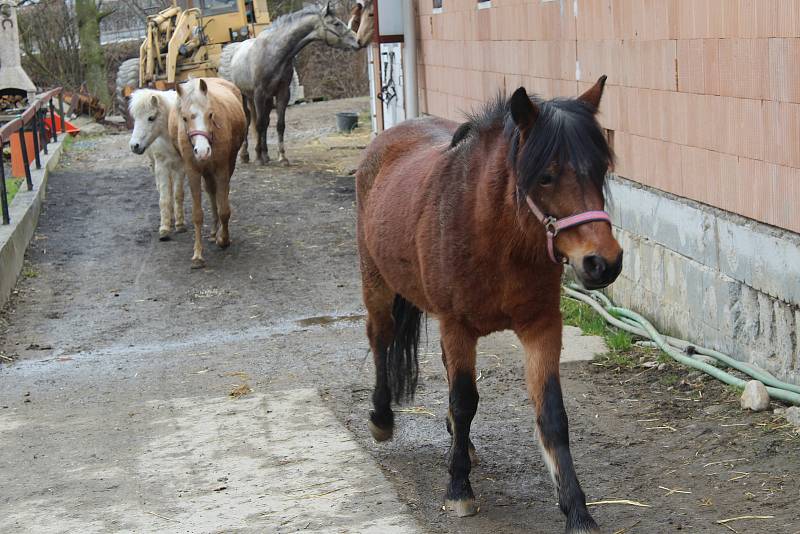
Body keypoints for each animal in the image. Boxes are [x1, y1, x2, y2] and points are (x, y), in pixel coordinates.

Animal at [127, 88, 185, 241]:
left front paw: (180, 224)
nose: (134, 146)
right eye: (135, 118)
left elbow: (178, 194)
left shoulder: (180, 167)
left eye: (151, 118)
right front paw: (164, 229)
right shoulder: (161, 167)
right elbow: (164, 197)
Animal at [173, 77, 248, 270]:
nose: (202, 151)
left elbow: (224, 209)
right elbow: (197, 215)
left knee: (222, 194)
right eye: (184, 118)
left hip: (228, 164)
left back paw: (219, 233)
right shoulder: (193, 172)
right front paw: (197, 256)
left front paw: (224, 239)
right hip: (206, 172)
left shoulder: (221, 169)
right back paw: (214, 232)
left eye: (210, 115)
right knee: (212, 192)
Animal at [219, 2, 356, 165]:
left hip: (264, 98)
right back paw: (245, 155)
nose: (356, 41)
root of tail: (236, 48)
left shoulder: (282, 93)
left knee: (265, 122)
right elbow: (259, 124)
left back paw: (266, 154)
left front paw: (282, 157)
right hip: (244, 95)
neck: (275, 53)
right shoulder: (259, 93)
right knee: (248, 120)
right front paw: (258, 157)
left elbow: (279, 125)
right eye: (336, 23)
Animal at [356, 76, 624, 534]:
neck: (496, 237)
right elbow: (465, 402)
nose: (603, 262)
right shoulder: (457, 325)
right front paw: (458, 488)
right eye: (546, 176)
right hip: (377, 286)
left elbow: (552, 415)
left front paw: (576, 509)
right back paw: (382, 419)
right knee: (381, 340)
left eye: (600, 169)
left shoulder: (542, 326)